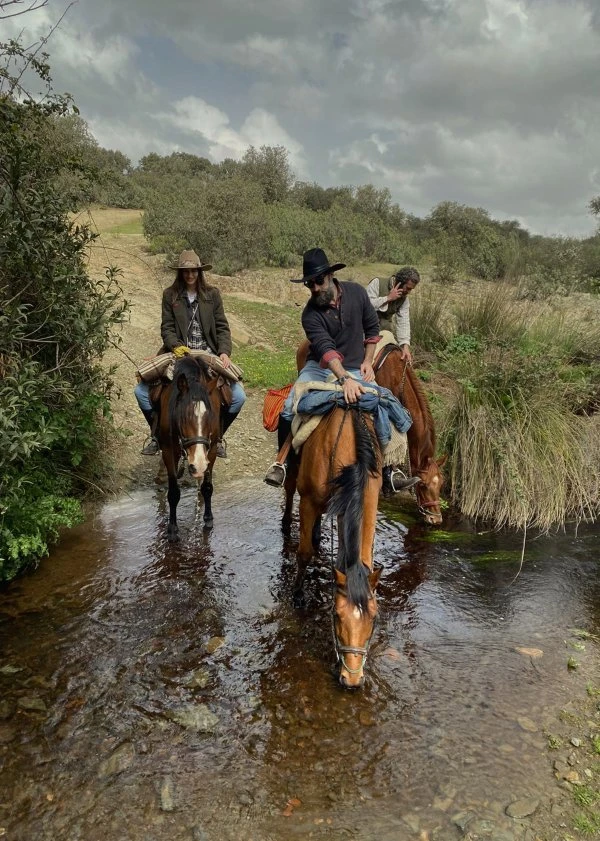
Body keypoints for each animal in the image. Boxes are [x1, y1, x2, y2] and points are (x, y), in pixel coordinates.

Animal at [155, 356, 230, 540]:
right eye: (183, 417)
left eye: (210, 417)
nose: (198, 465)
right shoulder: (169, 451)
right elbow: (173, 492)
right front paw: (172, 529)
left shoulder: (211, 450)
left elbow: (207, 487)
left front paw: (208, 519)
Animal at [284, 406, 382, 688]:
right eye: (337, 615)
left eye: (374, 618)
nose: (352, 679)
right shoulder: (308, 501)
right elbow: (304, 553)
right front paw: (298, 594)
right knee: (288, 490)